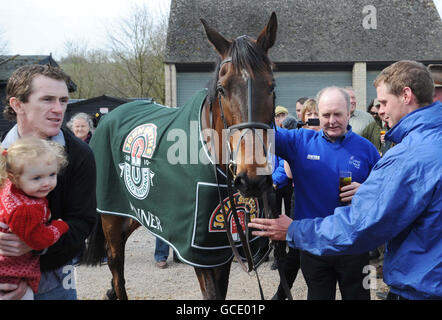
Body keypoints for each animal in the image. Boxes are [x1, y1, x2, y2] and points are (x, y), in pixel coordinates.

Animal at [83, 10, 276, 300]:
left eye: (272, 86)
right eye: (222, 88)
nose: (252, 178)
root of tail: (108, 117)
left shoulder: (220, 247)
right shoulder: (199, 254)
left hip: (134, 210)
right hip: (110, 213)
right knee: (115, 259)